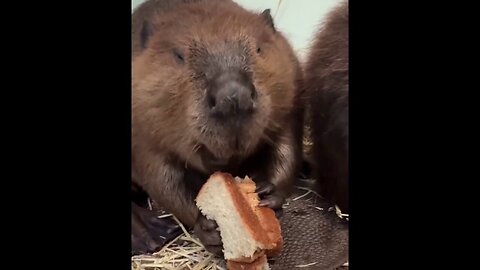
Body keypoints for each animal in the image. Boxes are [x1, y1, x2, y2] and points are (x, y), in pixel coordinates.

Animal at [130, 0, 304, 255]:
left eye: (258, 48)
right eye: (178, 55)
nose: (233, 98)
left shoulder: (290, 97)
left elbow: (287, 149)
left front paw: (266, 193)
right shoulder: (144, 134)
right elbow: (163, 181)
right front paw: (208, 226)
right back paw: (150, 232)